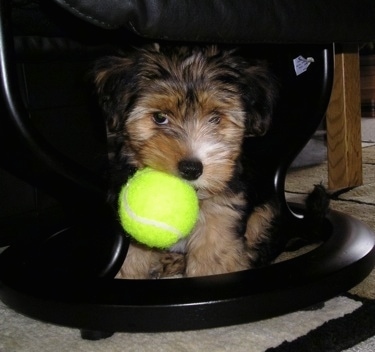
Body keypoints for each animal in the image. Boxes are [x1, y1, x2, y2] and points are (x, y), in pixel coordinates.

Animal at [94, 44, 328, 280]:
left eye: (215, 118)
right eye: (160, 117)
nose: (191, 169)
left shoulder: (222, 213)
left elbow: (213, 257)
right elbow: (131, 256)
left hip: (265, 212)